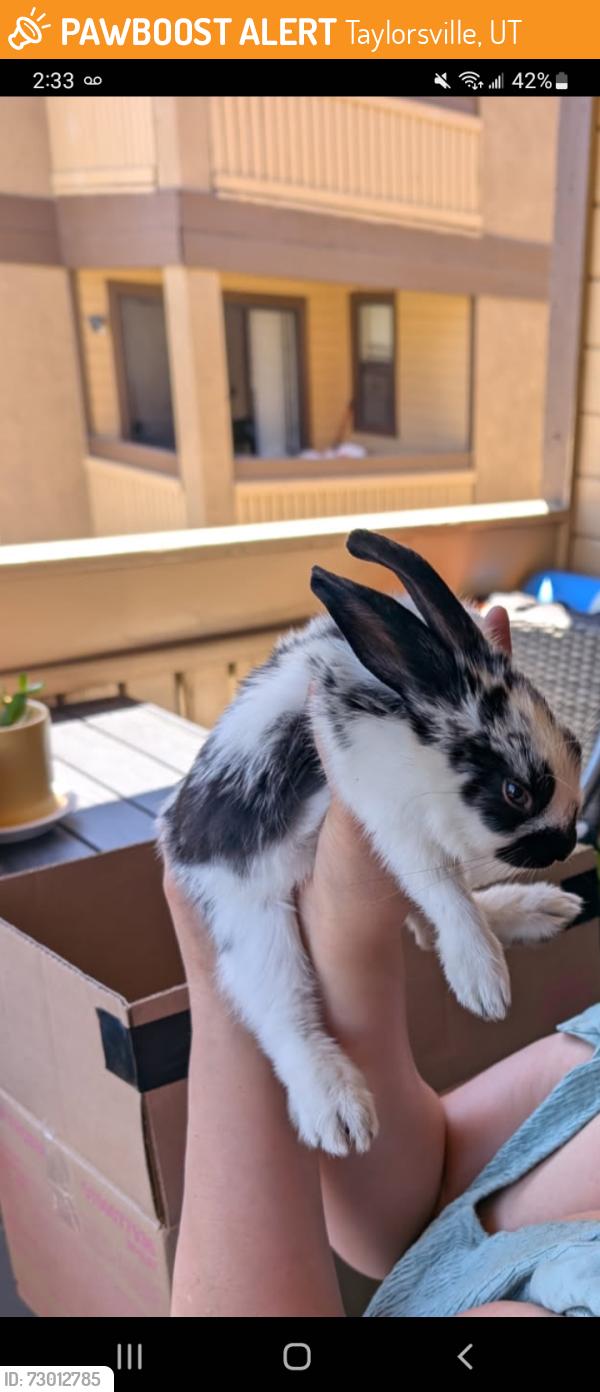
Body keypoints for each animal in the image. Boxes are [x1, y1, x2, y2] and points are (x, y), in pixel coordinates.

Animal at [159, 529, 583, 1157]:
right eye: (517, 792)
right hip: (253, 920)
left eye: (575, 746)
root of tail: (177, 835)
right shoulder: (390, 816)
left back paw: (535, 909)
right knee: (282, 1014)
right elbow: (444, 891)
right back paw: (336, 1110)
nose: (562, 846)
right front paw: (483, 980)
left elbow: (447, 898)